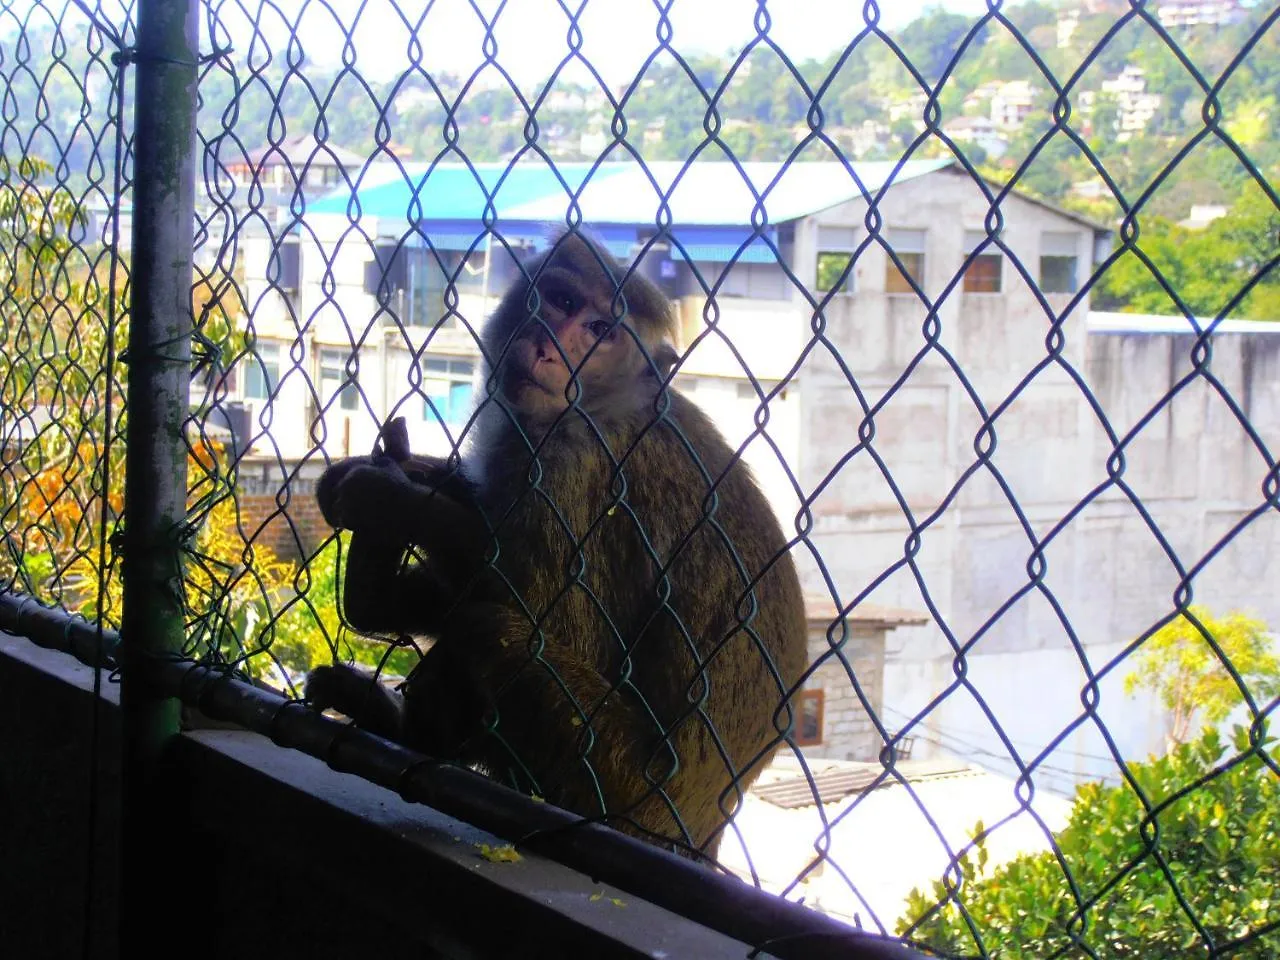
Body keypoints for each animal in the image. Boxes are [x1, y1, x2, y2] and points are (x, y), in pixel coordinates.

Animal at [305, 232, 803, 865]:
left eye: (598, 331)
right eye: (562, 300)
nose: (546, 347)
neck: (603, 402)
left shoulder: (576, 463)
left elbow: (554, 618)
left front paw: (394, 500)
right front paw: (398, 476)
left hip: (615, 777)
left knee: (484, 624)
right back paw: (375, 610)